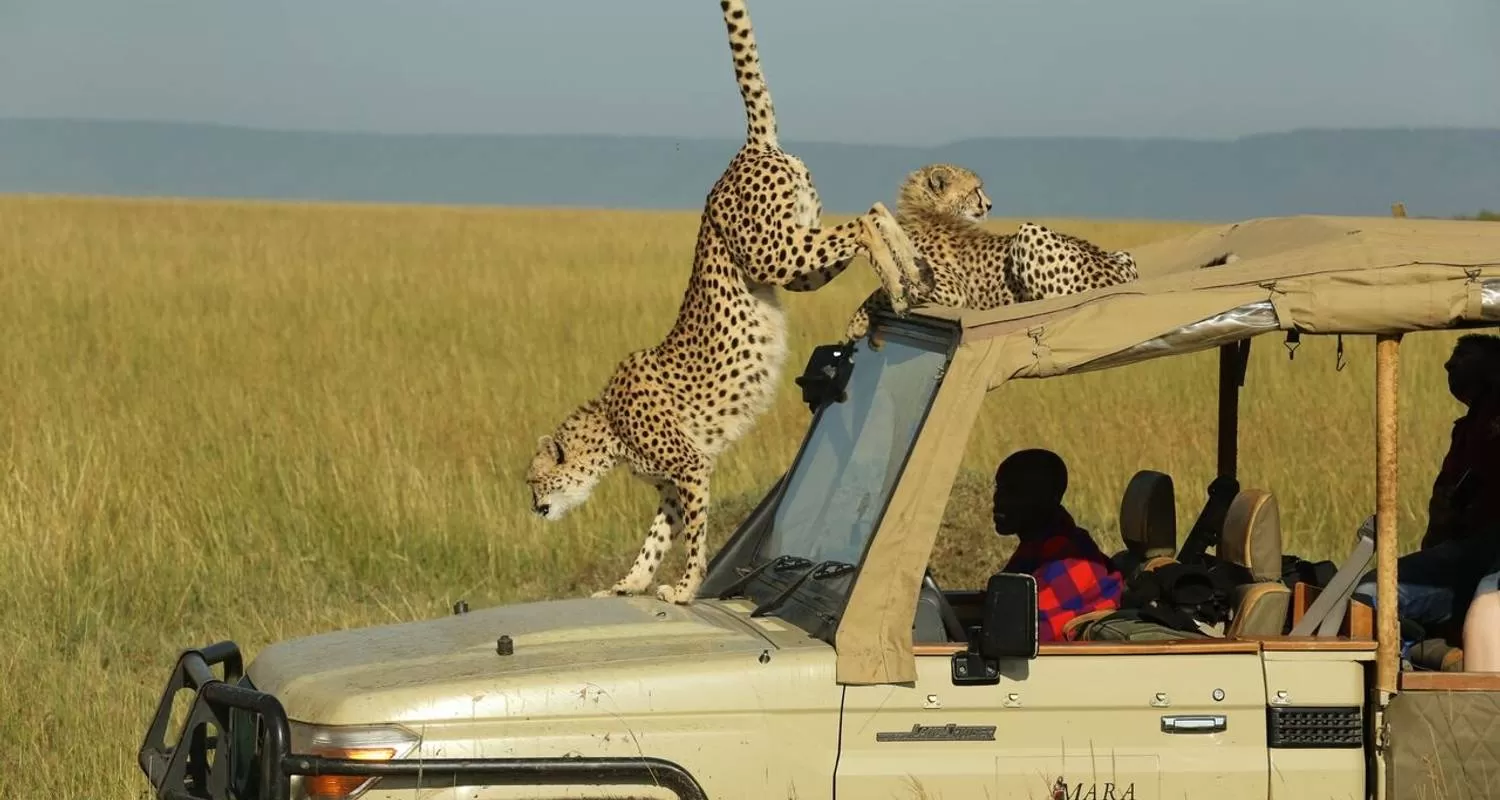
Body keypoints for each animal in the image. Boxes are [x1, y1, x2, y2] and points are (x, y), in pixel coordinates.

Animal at [528, 0, 924, 603]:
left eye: (533, 479)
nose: (533, 508)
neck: (608, 430)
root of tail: (748, 149)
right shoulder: (673, 483)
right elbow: (655, 538)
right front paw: (628, 585)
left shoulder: (690, 467)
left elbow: (694, 535)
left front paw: (686, 587)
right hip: (798, 257)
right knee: (876, 210)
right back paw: (912, 274)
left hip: (775, 255)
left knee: (864, 221)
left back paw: (900, 282)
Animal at [846, 162, 1134, 340]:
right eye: (975, 190)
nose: (989, 204)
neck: (927, 211)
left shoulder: (952, 292)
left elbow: (885, 288)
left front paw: (857, 322)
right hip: (1124, 255)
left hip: (1029, 232)